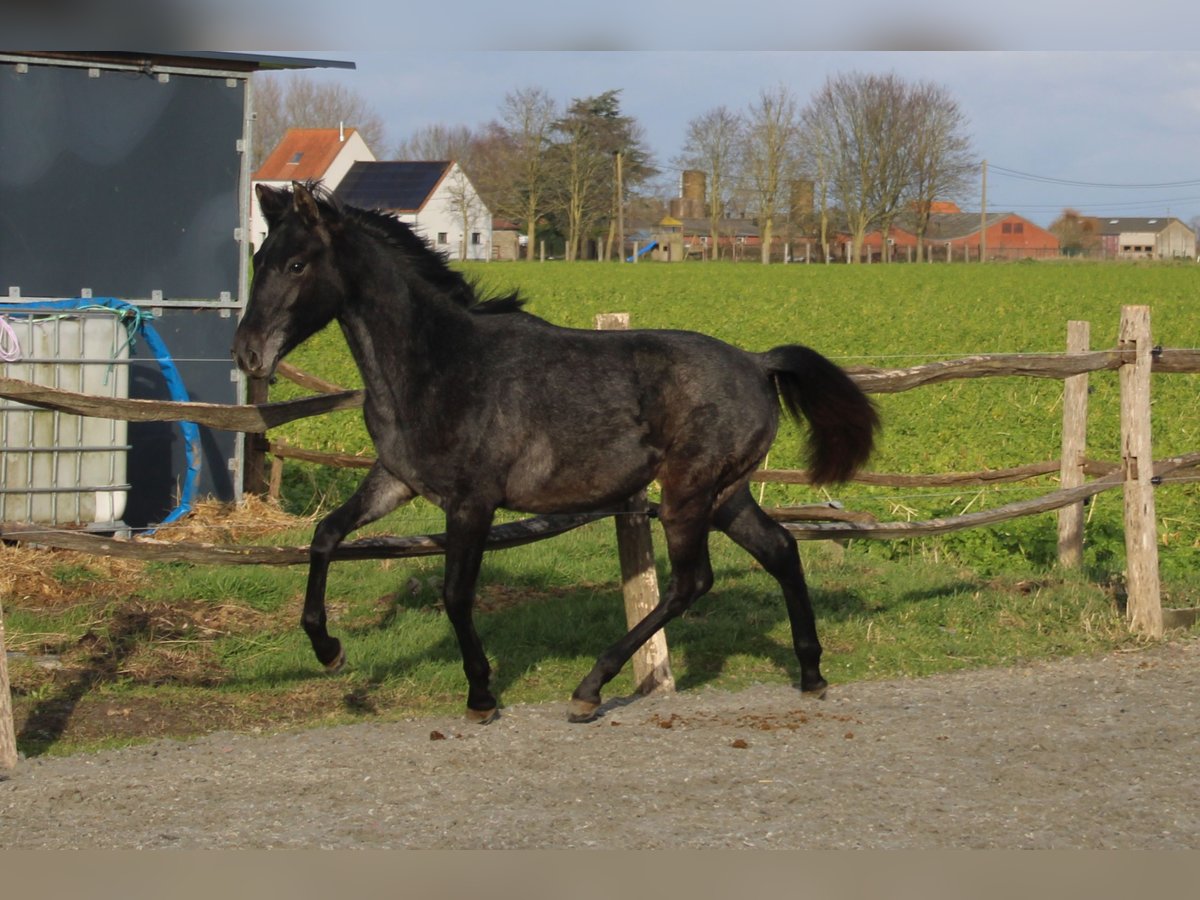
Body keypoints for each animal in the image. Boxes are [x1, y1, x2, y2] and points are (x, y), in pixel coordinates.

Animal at [231, 183, 883, 724]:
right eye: (259, 261)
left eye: (297, 264)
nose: (247, 354)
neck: (437, 363)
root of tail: (758, 362)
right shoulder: (396, 479)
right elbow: (325, 536)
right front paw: (329, 650)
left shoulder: (473, 503)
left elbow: (456, 594)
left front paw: (481, 695)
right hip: (725, 494)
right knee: (780, 549)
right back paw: (812, 673)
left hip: (687, 493)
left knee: (692, 581)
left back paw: (590, 688)